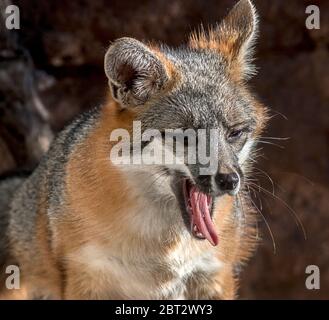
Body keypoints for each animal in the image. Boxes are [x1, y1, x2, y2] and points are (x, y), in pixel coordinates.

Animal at [0, 0, 266, 300]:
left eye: (235, 133)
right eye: (187, 136)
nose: (230, 180)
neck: (162, 250)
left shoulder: (214, 273)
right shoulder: (88, 276)